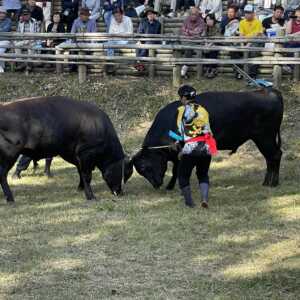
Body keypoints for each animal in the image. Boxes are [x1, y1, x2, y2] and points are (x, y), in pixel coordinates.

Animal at [0, 97, 132, 203]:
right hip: (9, 155)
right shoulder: (86, 155)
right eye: (125, 172)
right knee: (2, 175)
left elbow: (80, 172)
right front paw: (90, 196)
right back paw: (10, 198)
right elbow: (87, 175)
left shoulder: (75, 156)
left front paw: (80, 188)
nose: (120, 192)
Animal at [134, 88, 284, 189]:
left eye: (145, 166)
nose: (156, 184)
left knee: (275, 155)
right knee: (270, 158)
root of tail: (270, 91)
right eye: (141, 171)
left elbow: (178, 169)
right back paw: (266, 182)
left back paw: (272, 183)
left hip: (265, 137)